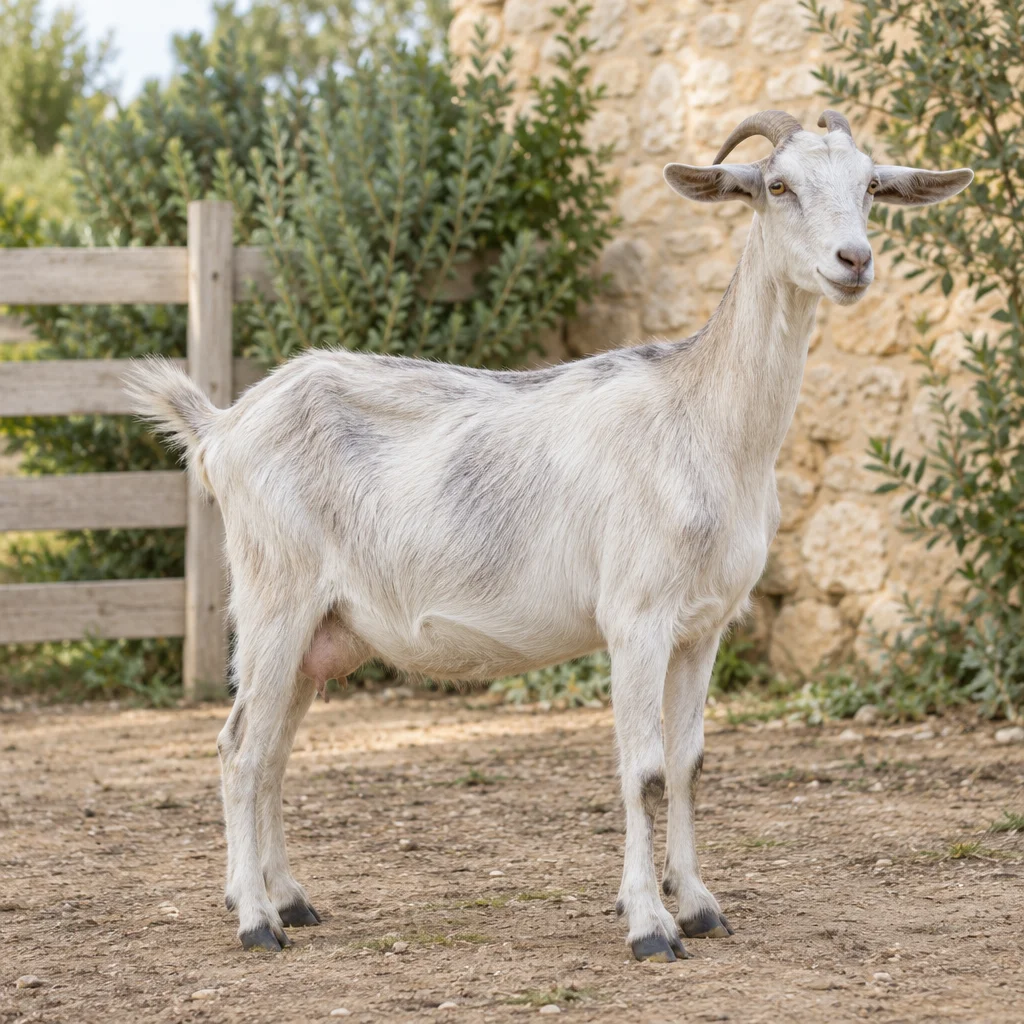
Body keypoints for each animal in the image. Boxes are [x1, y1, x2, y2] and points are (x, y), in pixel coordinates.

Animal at [126, 110, 971, 960]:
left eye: (871, 184)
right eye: (777, 185)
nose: (854, 260)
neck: (707, 422)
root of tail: (223, 426)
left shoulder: (704, 627)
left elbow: (690, 764)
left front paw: (700, 904)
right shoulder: (635, 618)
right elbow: (644, 771)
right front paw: (651, 924)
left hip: (320, 629)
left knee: (272, 752)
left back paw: (292, 899)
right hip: (274, 597)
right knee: (240, 749)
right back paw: (255, 919)